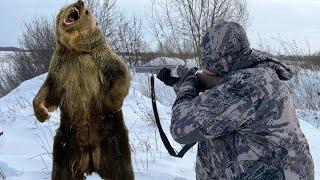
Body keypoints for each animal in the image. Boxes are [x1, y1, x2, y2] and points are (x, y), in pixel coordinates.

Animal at [33, 0, 135, 179]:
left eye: (87, 11)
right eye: (69, 4)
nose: (80, 2)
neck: (77, 50)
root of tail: (91, 158)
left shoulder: (101, 57)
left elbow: (120, 73)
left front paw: (111, 103)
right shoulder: (60, 65)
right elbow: (50, 89)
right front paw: (41, 112)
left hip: (114, 141)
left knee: (122, 168)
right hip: (66, 145)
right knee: (61, 170)